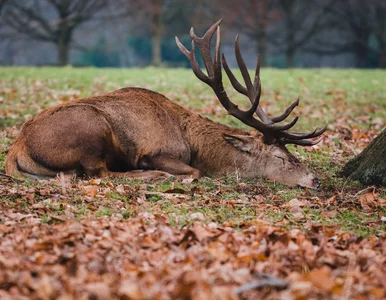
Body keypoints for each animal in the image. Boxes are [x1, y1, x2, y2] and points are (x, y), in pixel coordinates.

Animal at [6, 19, 326, 188]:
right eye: (281, 158)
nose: (314, 180)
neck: (195, 145)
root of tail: (17, 147)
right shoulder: (157, 151)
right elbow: (194, 171)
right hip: (91, 127)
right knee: (98, 173)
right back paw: (149, 175)